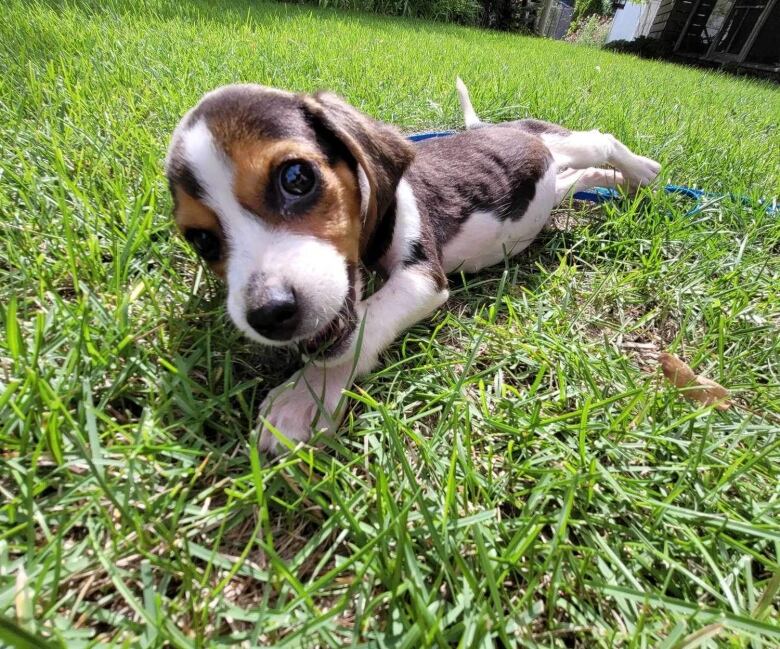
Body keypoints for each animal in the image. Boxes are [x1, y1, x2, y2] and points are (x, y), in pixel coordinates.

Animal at [165, 79, 660, 450]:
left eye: (296, 177)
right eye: (202, 240)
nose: (268, 314)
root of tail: (499, 125)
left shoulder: (422, 276)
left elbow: (364, 321)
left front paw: (307, 394)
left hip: (559, 143)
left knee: (599, 140)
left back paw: (642, 172)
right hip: (553, 184)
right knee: (577, 177)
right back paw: (615, 183)